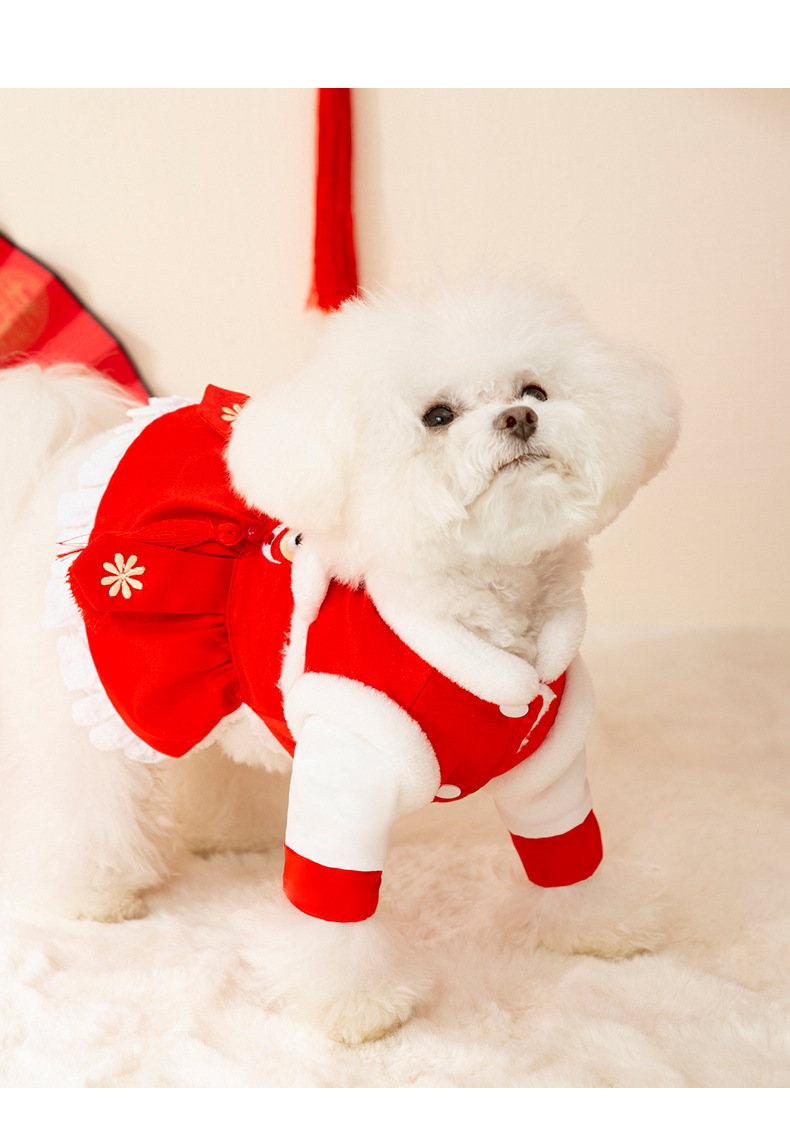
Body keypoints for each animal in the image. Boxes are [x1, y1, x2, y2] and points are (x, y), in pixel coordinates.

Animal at [0, 278, 679, 1043]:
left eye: (534, 388)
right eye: (437, 416)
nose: (519, 418)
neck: (484, 622)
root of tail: (75, 451)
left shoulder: (550, 765)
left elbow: (567, 852)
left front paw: (597, 924)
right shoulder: (352, 767)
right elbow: (333, 905)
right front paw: (355, 1002)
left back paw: (232, 832)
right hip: (104, 690)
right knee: (77, 794)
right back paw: (91, 890)